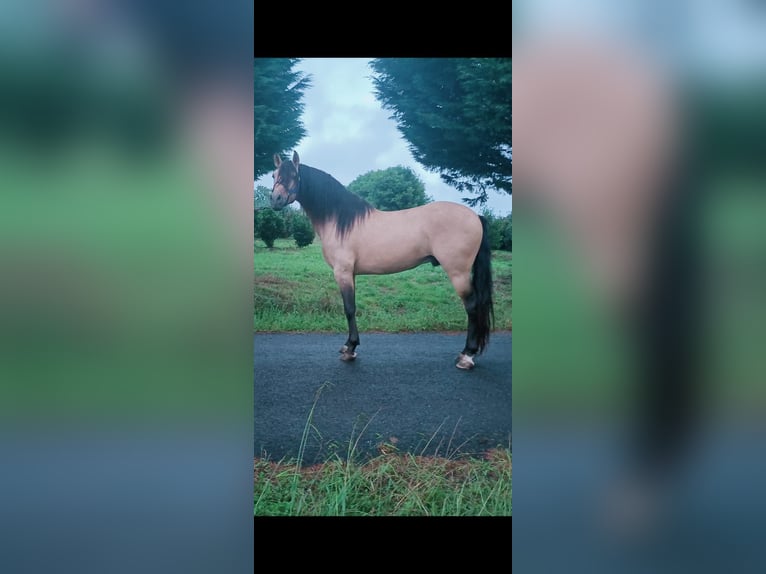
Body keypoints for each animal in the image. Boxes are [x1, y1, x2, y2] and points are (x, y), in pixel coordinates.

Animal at [272, 151, 496, 372]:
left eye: (293, 175)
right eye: (274, 175)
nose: (275, 199)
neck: (339, 221)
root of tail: (475, 216)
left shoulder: (342, 272)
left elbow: (349, 309)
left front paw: (350, 349)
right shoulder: (351, 274)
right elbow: (352, 307)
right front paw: (350, 345)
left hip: (458, 273)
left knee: (472, 306)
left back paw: (466, 356)